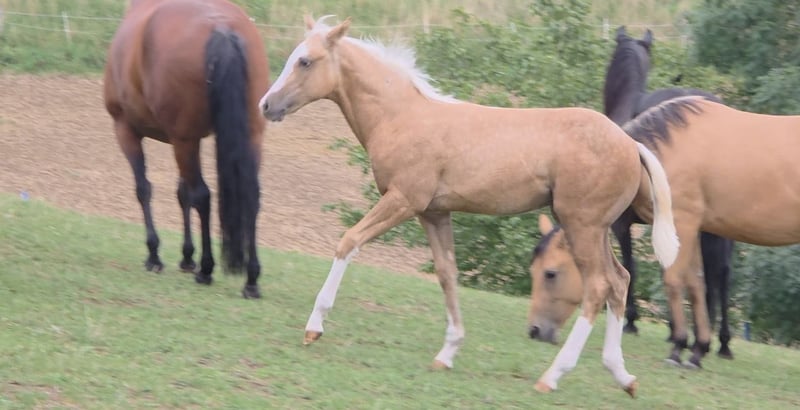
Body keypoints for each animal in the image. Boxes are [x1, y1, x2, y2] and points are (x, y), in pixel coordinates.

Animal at [103, 0, 269, 298]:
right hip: (249, 138)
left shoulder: (127, 130)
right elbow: (182, 194)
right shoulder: (188, 140)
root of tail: (221, 27)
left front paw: (155, 255)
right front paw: (186, 256)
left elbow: (144, 189)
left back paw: (206, 269)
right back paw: (251, 279)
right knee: (250, 197)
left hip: (182, 141)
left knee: (202, 195)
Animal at [259, 15, 680, 396]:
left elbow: (349, 241)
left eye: (305, 61)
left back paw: (553, 376)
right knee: (619, 281)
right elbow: (447, 273)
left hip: (583, 225)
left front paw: (314, 327)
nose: (266, 105)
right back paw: (622, 376)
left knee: (598, 287)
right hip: (594, 228)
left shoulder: (403, 199)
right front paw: (447, 353)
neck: (402, 117)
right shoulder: (433, 212)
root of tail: (631, 144)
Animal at [527, 95, 800, 369]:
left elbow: (673, 280)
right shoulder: (692, 229)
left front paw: (678, 345)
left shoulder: (684, 222)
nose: (535, 330)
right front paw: (698, 349)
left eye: (550, 273)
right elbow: (696, 284)